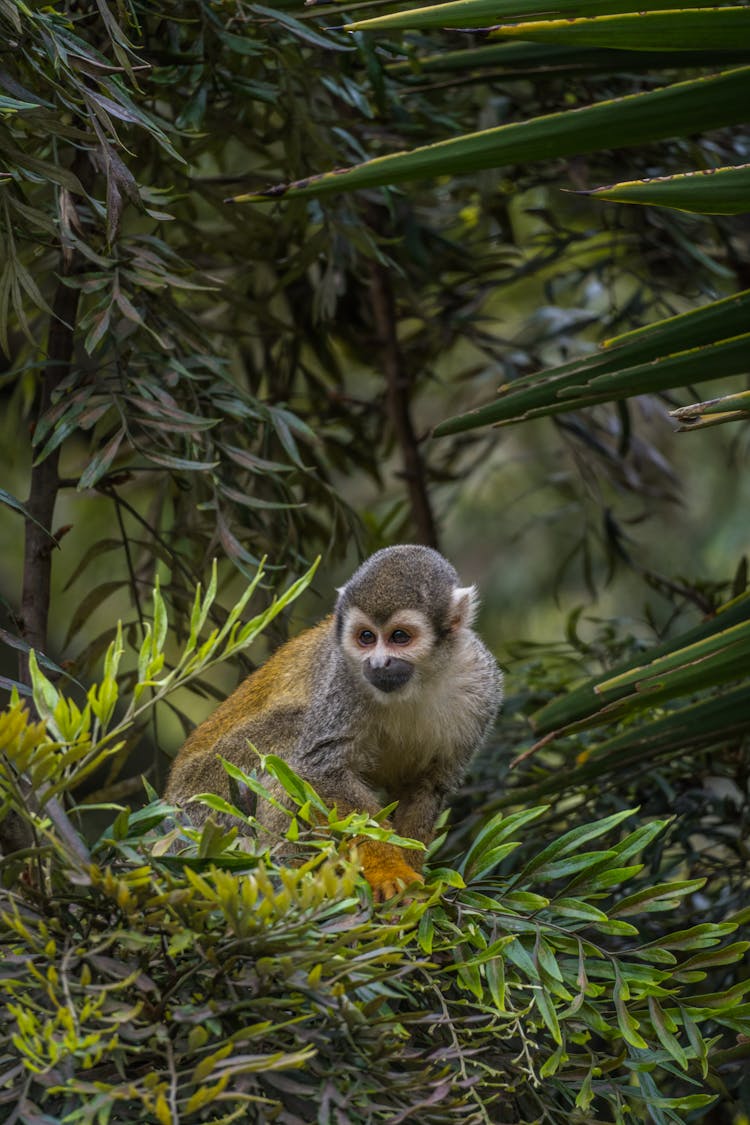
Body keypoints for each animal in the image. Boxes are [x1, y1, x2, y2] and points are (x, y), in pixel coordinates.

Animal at [167, 540, 501, 900]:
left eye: (399, 637)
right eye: (366, 637)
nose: (378, 664)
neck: (418, 682)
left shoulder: (481, 688)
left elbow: (427, 786)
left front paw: (415, 882)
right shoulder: (341, 677)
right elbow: (322, 771)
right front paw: (391, 871)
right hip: (207, 808)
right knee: (289, 742)